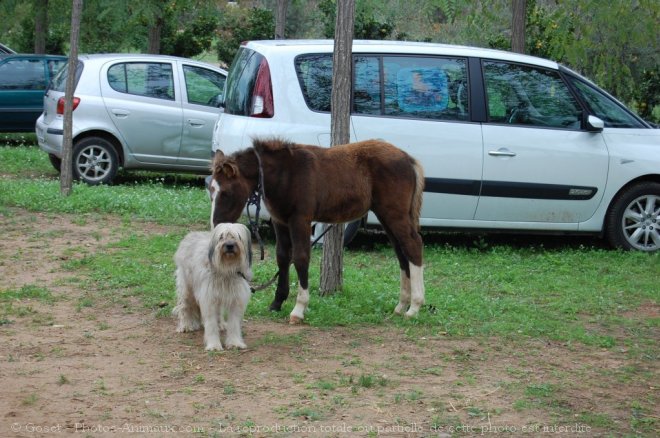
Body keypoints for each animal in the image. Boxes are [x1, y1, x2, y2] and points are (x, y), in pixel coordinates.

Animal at [213, 139, 428, 324]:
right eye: (210, 189)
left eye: (226, 193)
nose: (216, 225)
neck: (286, 173)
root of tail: (408, 158)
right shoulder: (280, 221)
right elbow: (282, 257)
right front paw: (277, 302)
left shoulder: (300, 220)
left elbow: (300, 258)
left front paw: (299, 309)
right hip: (386, 215)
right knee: (401, 252)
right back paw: (400, 306)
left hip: (395, 214)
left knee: (413, 245)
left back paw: (414, 307)